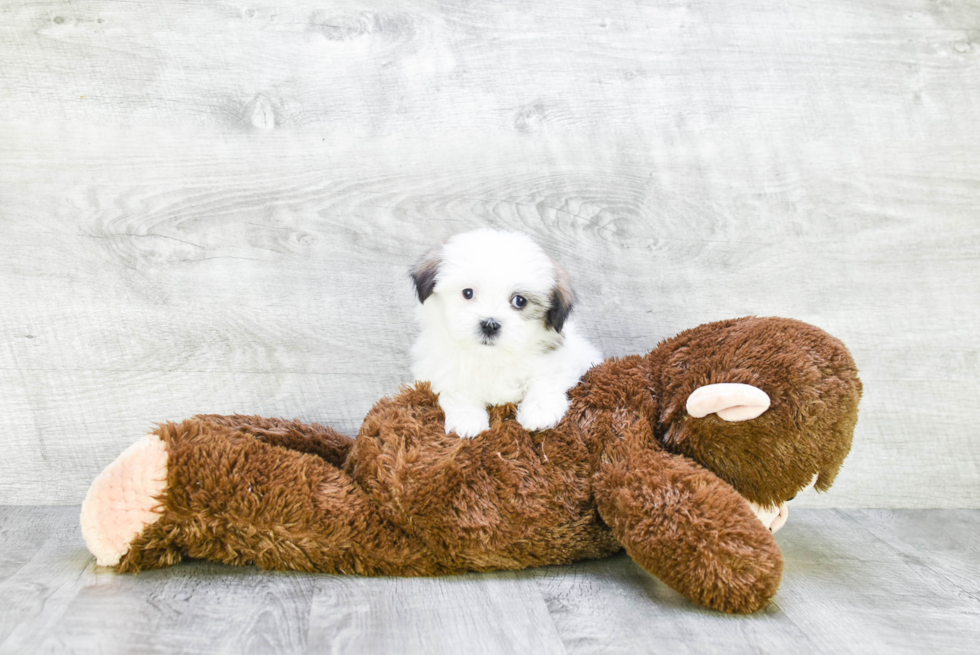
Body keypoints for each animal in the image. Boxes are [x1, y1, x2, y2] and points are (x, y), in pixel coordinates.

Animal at [408, 228, 604, 438]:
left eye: (519, 301)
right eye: (468, 293)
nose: (489, 324)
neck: (492, 357)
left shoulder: (566, 359)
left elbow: (545, 379)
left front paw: (540, 411)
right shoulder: (437, 370)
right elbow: (455, 390)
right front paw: (467, 420)